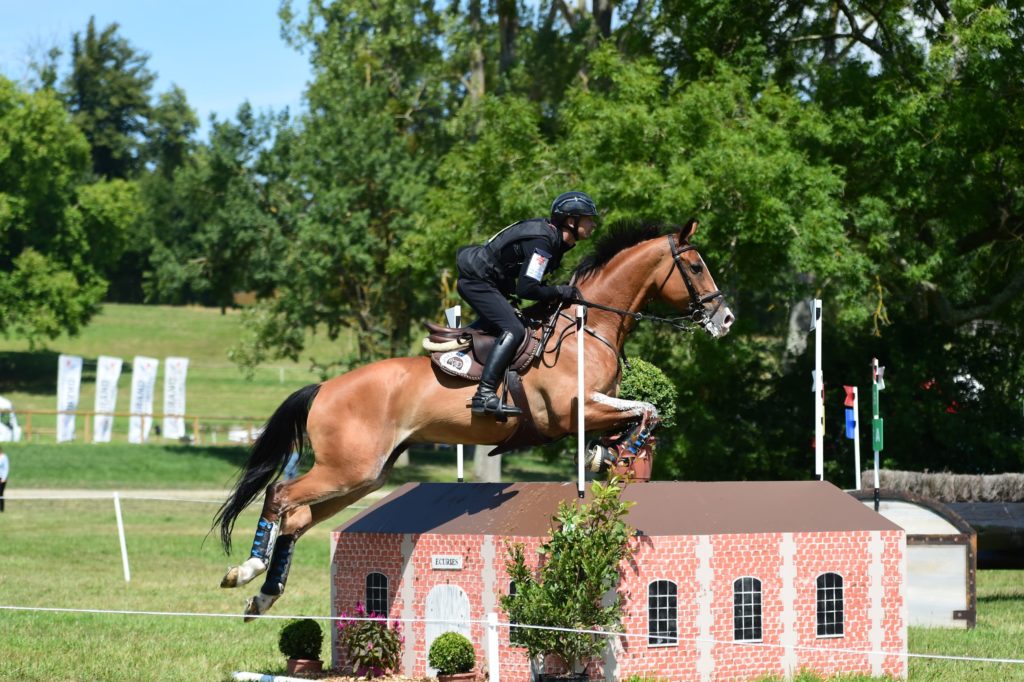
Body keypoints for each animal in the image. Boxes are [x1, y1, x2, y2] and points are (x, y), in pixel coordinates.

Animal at [216, 218, 733, 614]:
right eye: (695, 266)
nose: (724, 319)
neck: (589, 329)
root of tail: (323, 388)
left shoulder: (596, 409)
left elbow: (639, 416)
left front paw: (608, 457)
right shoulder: (574, 410)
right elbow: (648, 410)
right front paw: (615, 454)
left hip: (365, 476)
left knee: (297, 518)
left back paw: (263, 594)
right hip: (348, 468)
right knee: (281, 496)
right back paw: (249, 570)